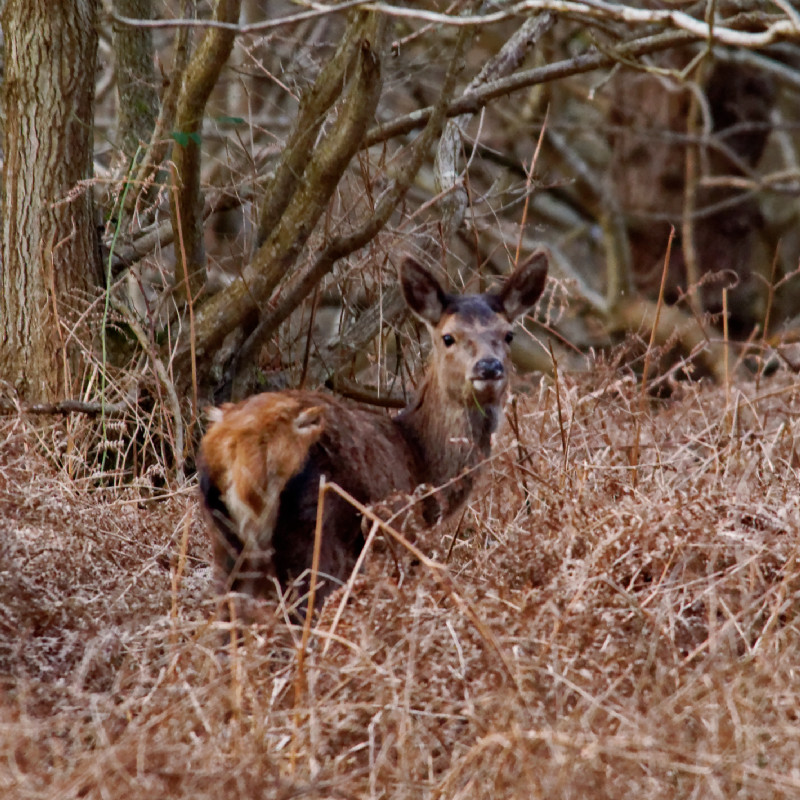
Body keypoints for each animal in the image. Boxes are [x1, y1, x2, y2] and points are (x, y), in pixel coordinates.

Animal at [200, 253, 552, 616]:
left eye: (508, 335)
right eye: (448, 337)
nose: (489, 367)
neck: (422, 462)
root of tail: (244, 451)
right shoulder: (406, 539)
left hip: (224, 538)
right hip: (316, 529)